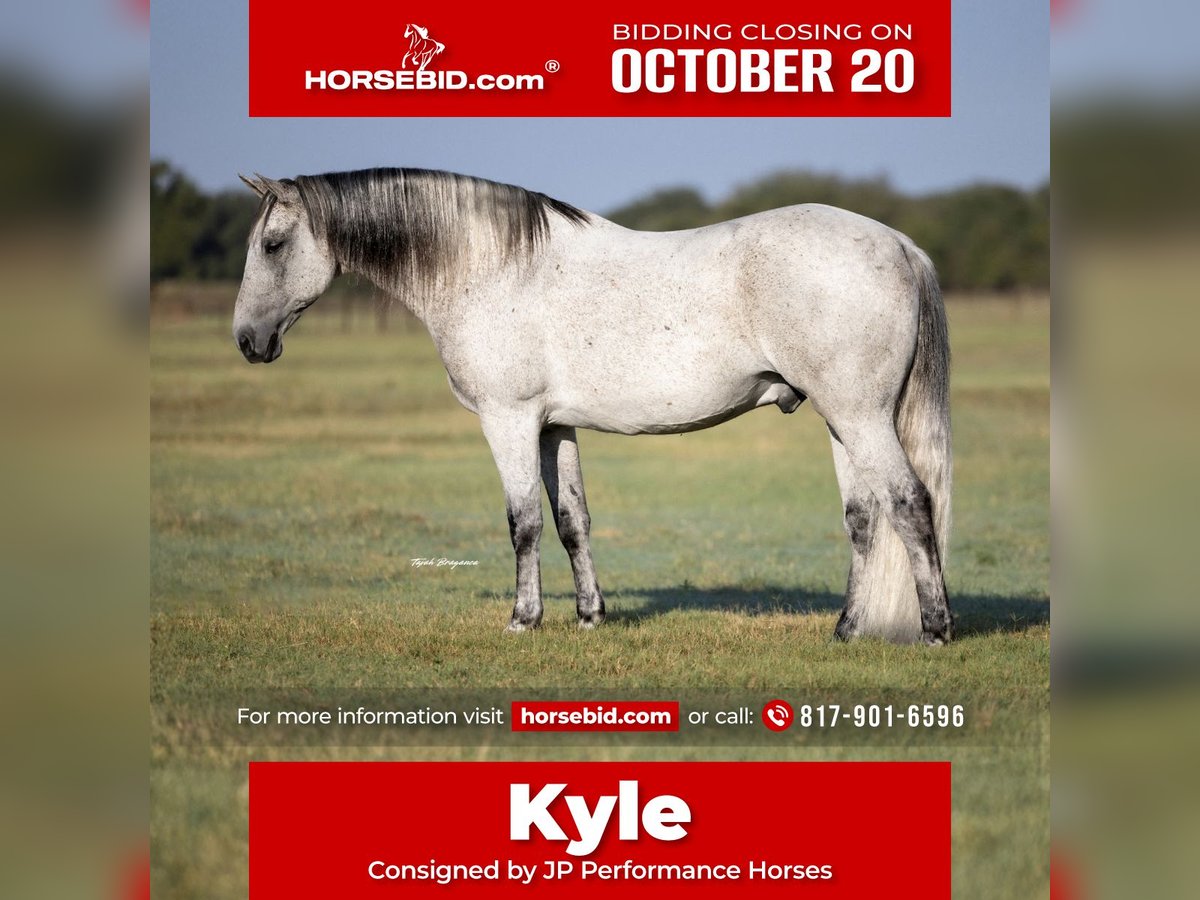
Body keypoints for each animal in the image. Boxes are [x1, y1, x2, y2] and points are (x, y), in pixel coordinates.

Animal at [233, 168, 952, 645]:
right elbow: (571, 519)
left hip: (860, 418)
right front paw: (589, 616)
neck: (493, 268)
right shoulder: (555, 428)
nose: (247, 341)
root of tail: (900, 244)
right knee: (864, 519)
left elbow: (523, 521)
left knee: (911, 504)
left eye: (272, 244)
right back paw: (846, 629)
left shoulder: (509, 419)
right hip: (841, 421)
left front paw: (523, 620)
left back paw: (936, 629)